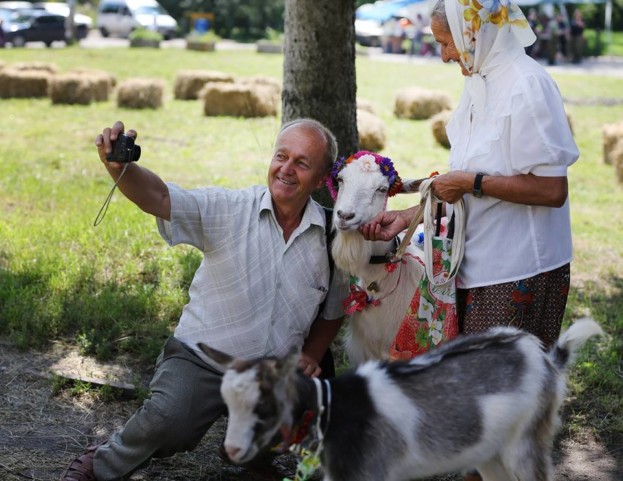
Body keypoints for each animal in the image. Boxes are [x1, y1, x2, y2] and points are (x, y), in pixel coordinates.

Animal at [200, 318, 603, 481]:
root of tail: (547, 358)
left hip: (527, 440)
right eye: (226, 403)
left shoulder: (373, 473)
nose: (231, 450)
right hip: (490, 452)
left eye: (262, 405)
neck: (335, 410)